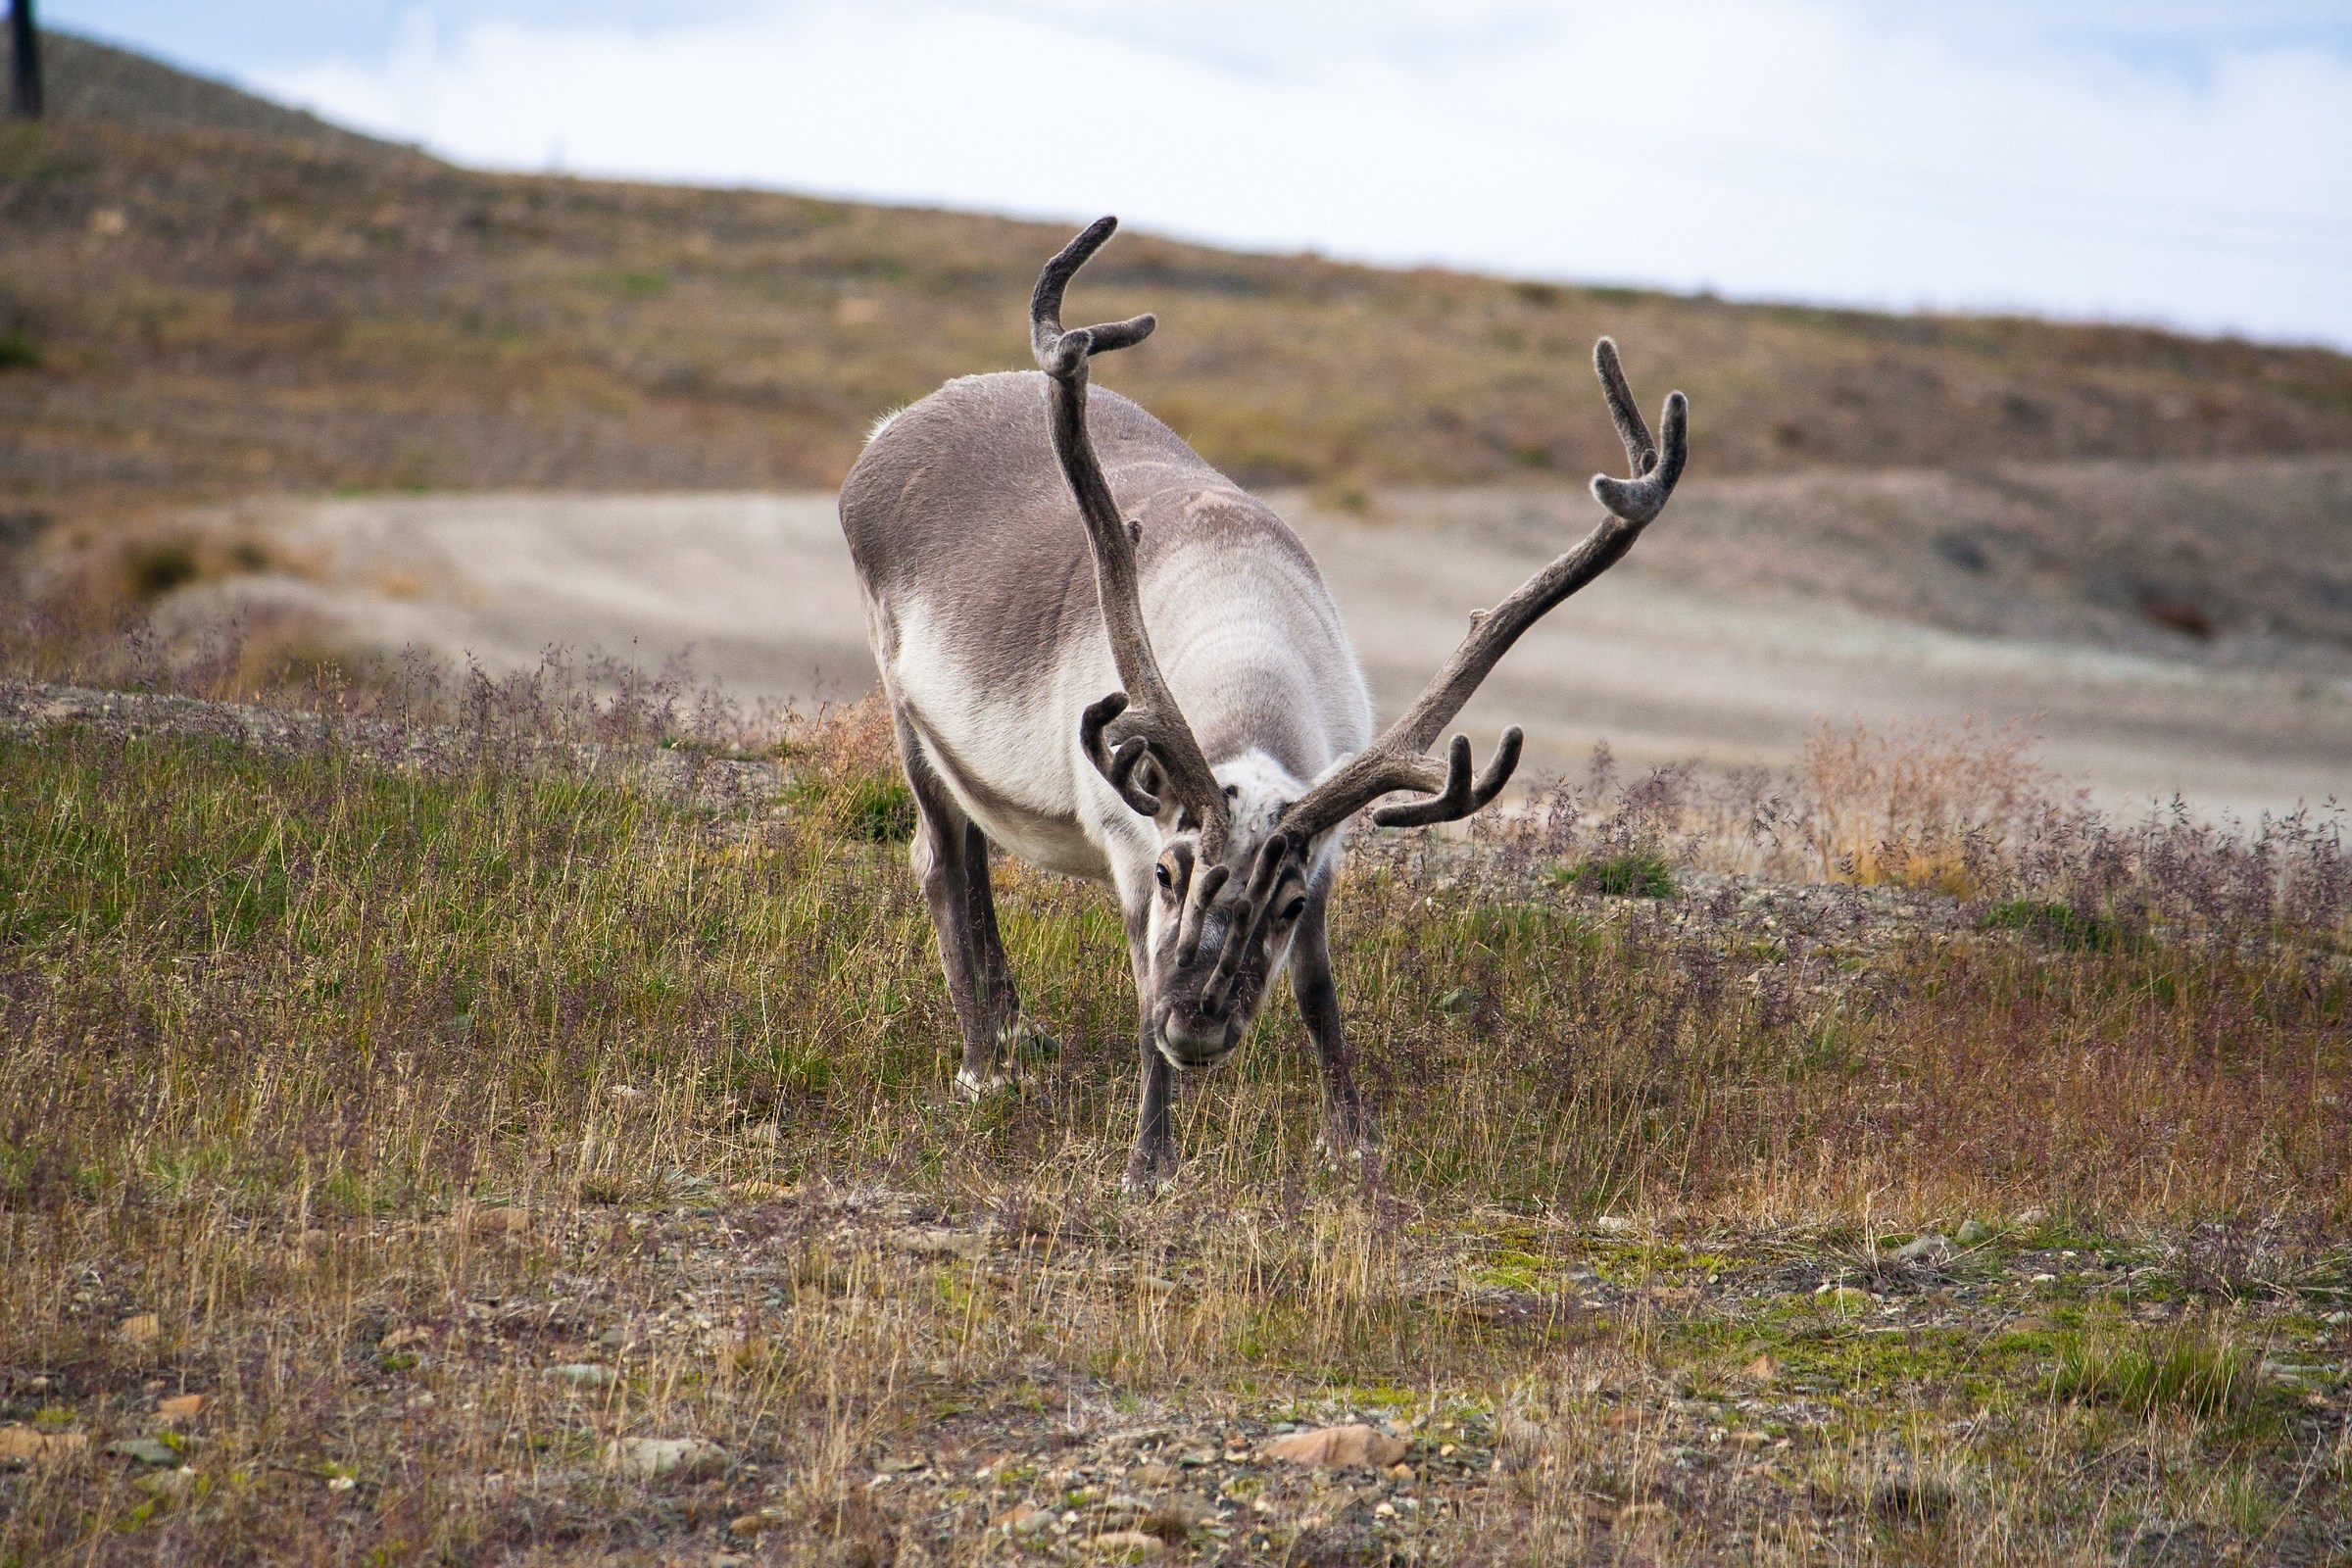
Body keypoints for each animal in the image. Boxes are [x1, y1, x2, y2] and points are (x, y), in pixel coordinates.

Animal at [838, 217, 1687, 1185]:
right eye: (1172, 875)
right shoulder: (1129, 843)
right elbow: (1139, 982)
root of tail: (885, 434)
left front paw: (1352, 1137)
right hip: (905, 710)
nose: (1197, 1028)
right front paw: (1149, 1159)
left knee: (975, 856)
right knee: (941, 861)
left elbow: (1318, 989)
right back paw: (983, 1067)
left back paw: (1019, 1031)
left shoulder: (1324, 853)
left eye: (1281, 906)